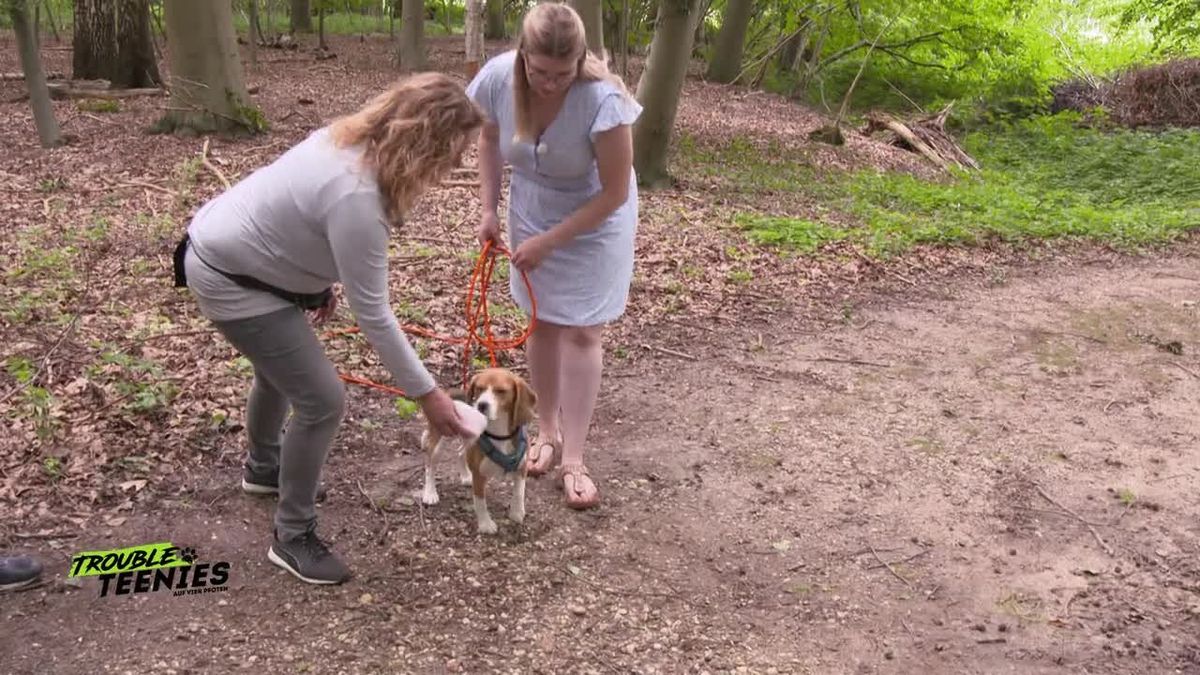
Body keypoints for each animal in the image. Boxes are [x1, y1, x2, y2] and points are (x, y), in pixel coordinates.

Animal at [420, 367, 537, 530]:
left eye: (501, 391)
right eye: (479, 388)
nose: (481, 405)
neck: (499, 434)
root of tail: (449, 392)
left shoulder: (522, 468)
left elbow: (519, 492)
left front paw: (516, 513)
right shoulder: (479, 475)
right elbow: (480, 501)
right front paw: (485, 524)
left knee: (460, 453)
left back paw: (465, 476)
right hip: (440, 440)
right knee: (430, 464)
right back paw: (430, 493)